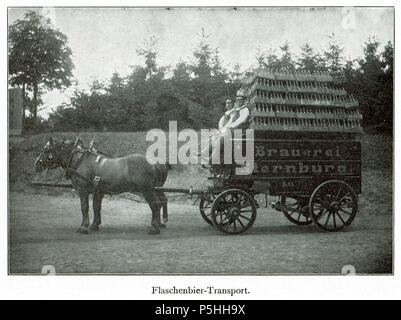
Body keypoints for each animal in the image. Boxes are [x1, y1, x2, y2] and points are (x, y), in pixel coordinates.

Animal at [32, 136, 167, 234]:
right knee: (160, 202)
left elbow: (85, 207)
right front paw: (94, 225)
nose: (36, 164)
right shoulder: (98, 191)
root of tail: (154, 162)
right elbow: (96, 207)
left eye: (46, 150)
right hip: (153, 189)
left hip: (147, 189)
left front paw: (84, 227)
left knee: (155, 204)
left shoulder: (83, 190)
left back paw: (154, 228)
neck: (80, 161)